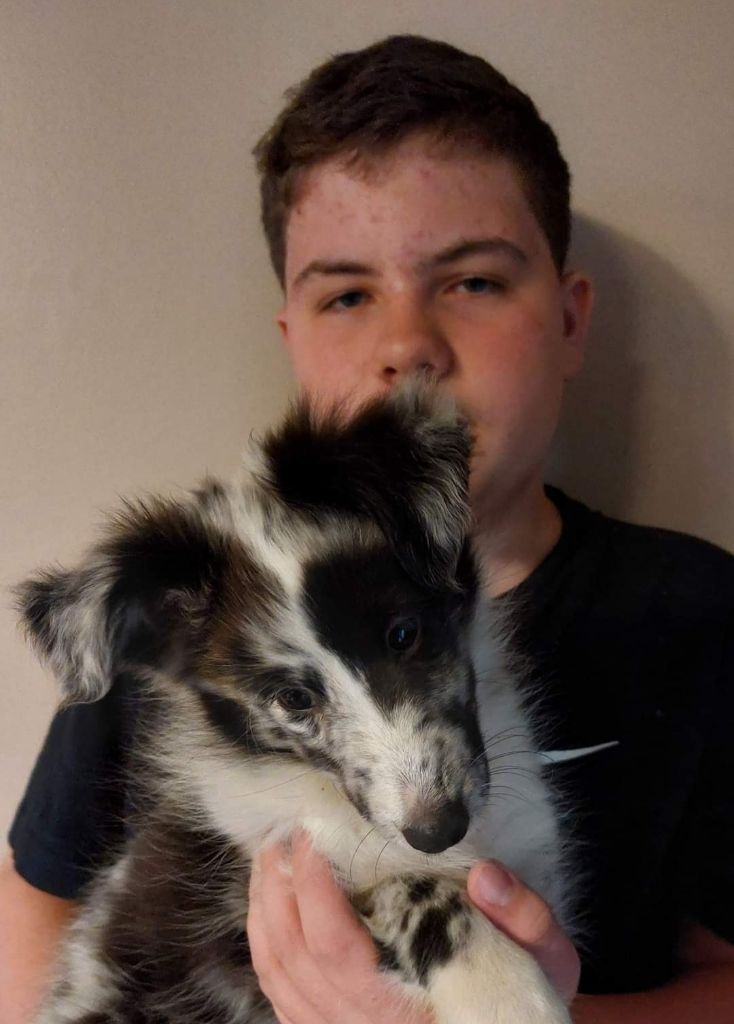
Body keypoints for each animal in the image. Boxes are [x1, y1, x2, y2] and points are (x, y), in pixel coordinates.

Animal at [17, 384, 572, 1024]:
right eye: (292, 699)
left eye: (403, 634)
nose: (437, 831)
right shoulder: (257, 896)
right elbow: (407, 887)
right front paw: (504, 991)